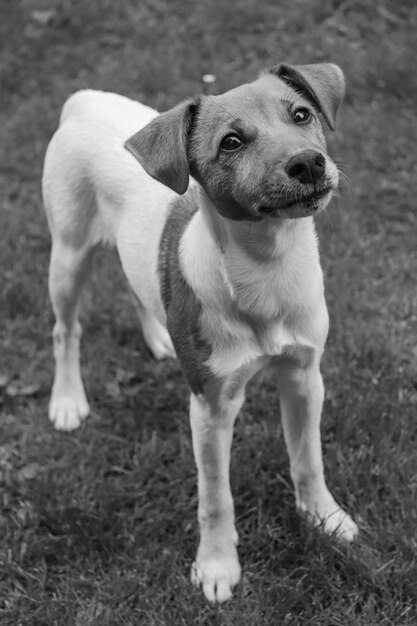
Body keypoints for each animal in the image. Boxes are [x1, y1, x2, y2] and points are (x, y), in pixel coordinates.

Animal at [42, 62, 358, 600]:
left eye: (302, 114)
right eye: (231, 142)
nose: (309, 164)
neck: (266, 274)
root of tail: (84, 100)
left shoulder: (304, 375)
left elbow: (308, 459)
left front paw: (325, 517)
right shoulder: (211, 406)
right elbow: (215, 496)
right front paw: (216, 566)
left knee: (139, 287)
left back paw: (159, 338)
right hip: (67, 254)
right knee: (67, 330)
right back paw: (67, 400)